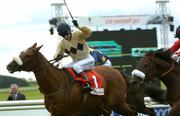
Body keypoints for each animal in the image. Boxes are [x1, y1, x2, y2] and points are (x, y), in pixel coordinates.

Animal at [6, 42, 136, 116]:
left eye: (28, 55)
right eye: (21, 53)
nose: (9, 66)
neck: (57, 85)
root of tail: (117, 71)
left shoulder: (72, 112)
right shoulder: (55, 113)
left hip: (117, 102)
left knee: (132, 112)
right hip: (97, 104)